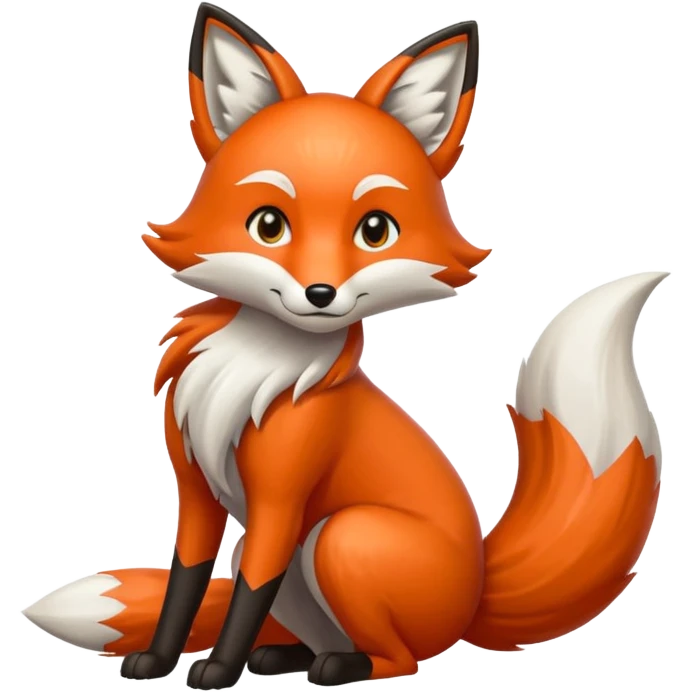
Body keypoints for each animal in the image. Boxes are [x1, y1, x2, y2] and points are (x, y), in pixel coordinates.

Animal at [21, 3, 665, 690]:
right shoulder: (196, 491)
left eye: (375, 230)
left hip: (339, 538)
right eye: (268, 225)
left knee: (400, 657)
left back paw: (338, 666)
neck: (254, 367)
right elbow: (186, 583)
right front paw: (160, 661)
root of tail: (477, 593)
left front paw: (218, 669)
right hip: (292, 554)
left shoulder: (281, 501)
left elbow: (248, 595)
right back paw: (286, 657)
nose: (321, 292)